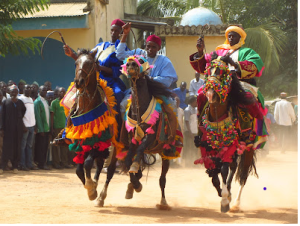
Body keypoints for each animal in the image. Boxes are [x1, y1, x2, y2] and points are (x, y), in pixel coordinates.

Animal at [54, 48, 123, 207]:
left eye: (90, 64)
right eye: (76, 63)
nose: (79, 82)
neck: (87, 107)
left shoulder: (98, 144)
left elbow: (87, 164)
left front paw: (92, 190)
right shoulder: (80, 144)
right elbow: (79, 170)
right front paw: (91, 187)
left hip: (114, 147)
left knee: (109, 171)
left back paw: (101, 197)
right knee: (99, 166)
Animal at [117, 55, 183, 210]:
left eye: (141, 61)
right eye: (127, 60)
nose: (131, 64)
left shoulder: (151, 137)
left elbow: (139, 151)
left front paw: (136, 182)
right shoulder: (132, 139)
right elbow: (129, 160)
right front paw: (135, 184)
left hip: (165, 153)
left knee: (162, 179)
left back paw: (163, 202)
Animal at [195, 52, 262, 213]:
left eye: (223, 72)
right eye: (208, 71)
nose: (210, 93)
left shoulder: (231, 145)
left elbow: (225, 170)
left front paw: (225, 199)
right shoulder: (207, 145)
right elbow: (214, 172)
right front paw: (222, 192)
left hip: (248, 146)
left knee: (242, 175)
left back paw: (236, 202)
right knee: (232, 167)